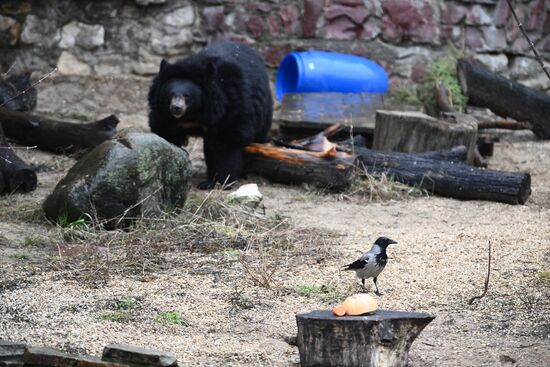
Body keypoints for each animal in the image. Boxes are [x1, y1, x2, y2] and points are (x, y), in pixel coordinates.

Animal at [149, 41, 274, 190]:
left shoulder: (230, 106)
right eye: (170, 95)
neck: (193, 115)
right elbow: (166, 133)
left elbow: (225, 144)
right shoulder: (163, 114)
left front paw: (218, 182)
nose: (176, 108)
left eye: (187, 96)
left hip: (263, 108)